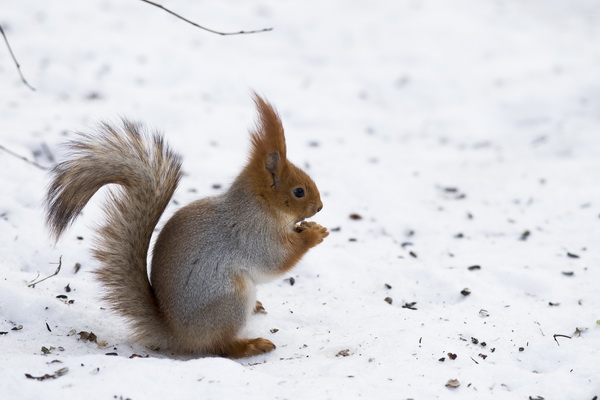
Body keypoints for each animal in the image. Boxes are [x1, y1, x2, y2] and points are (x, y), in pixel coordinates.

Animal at [45, 94, 330, 360]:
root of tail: (176, 335)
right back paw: (250, 345)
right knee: (219, 346)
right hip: (230, 300)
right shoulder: (251, 234)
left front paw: (309, 227)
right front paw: (314, 234)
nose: (320, 207)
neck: (259, 206)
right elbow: (276, 260)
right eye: (299, 191)